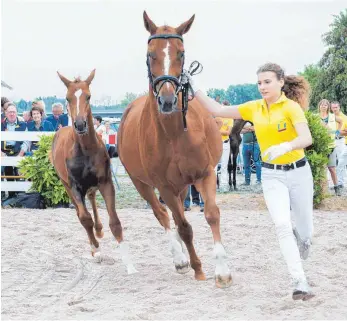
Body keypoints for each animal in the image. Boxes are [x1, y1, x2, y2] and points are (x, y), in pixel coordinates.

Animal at [51, 70, 137, 272]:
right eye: (67, 98)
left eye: (88, 96)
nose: (80, 124)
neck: (84, 150)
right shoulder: (74, 186)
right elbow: (84, 218)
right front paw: (96, 250)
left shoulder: (105, 182)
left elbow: (115, 223)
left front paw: (130, 266)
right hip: (65, 185)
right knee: (80, 212)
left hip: (91, 185)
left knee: (91, 198)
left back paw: (98, 230)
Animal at [118, 11, 232, 288]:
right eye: (151, 55)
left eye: (181, 53)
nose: (167, 100)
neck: (174, 135)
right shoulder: (163, 186)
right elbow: (183, 226)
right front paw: (197, 267)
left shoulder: (205, 174)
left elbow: (211, 214)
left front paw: (222, 271)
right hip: (142, 183)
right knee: (163, 214)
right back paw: (180, 258)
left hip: (182, 185)